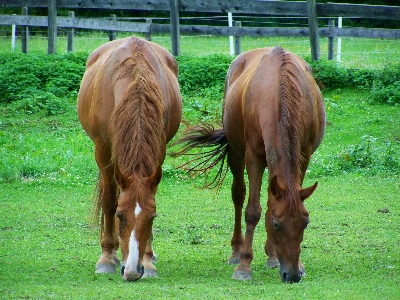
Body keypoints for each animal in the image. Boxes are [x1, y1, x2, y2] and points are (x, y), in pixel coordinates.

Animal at [77, 37, 183, 282]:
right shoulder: (103, 149)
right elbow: (108, 200)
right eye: (120, 215)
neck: (136, 81)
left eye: (152, 217)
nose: (133, 271)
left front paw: (148, 260)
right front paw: (107, 258)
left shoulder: (159, 150)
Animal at [173, 46, 326, 282]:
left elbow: (272, 204)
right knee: (238, 196)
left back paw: (272, 256)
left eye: (305, 223)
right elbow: (252, 211)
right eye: (277, 224)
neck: (279, 91)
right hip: (236, 154)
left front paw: (296, 264)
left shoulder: (303, 154)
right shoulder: (253, 157)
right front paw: (244, 266)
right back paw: (236, 252)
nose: (291, 275)